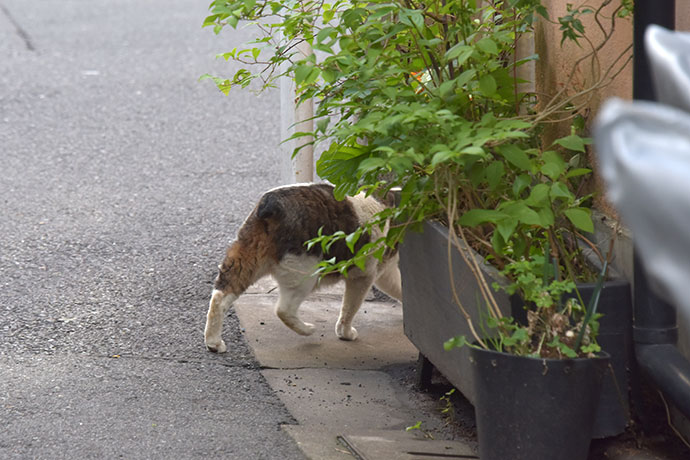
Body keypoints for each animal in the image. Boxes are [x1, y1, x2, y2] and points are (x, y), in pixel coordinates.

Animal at [202, 182, 400, 352]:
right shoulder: (364, 275)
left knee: (220, 297)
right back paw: (308, 329)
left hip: (245, 261)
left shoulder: (386, 273)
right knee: (283, 310)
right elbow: (349, 308)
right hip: (304, 274)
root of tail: (270, 203)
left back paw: (213, 342)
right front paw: (345, 333)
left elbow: (398, 289)